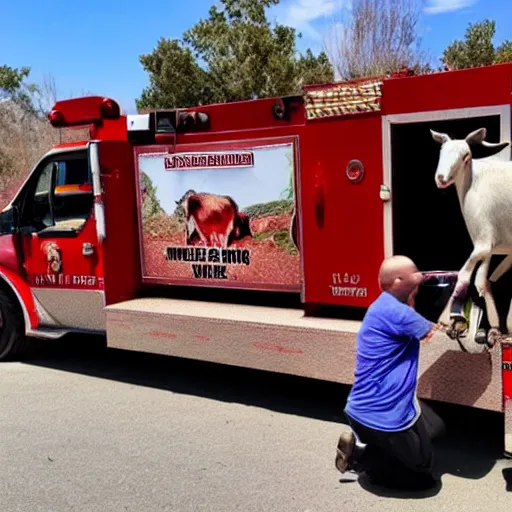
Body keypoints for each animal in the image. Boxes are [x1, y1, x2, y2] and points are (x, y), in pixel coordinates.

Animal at [432, 127, 512, 344]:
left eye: (466, 156)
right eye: (441, 151)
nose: (441, 178)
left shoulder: (483, 243)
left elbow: (464, 275)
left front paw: (446, 321)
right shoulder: (488, 245)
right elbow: (482, 282)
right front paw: (495, 328)